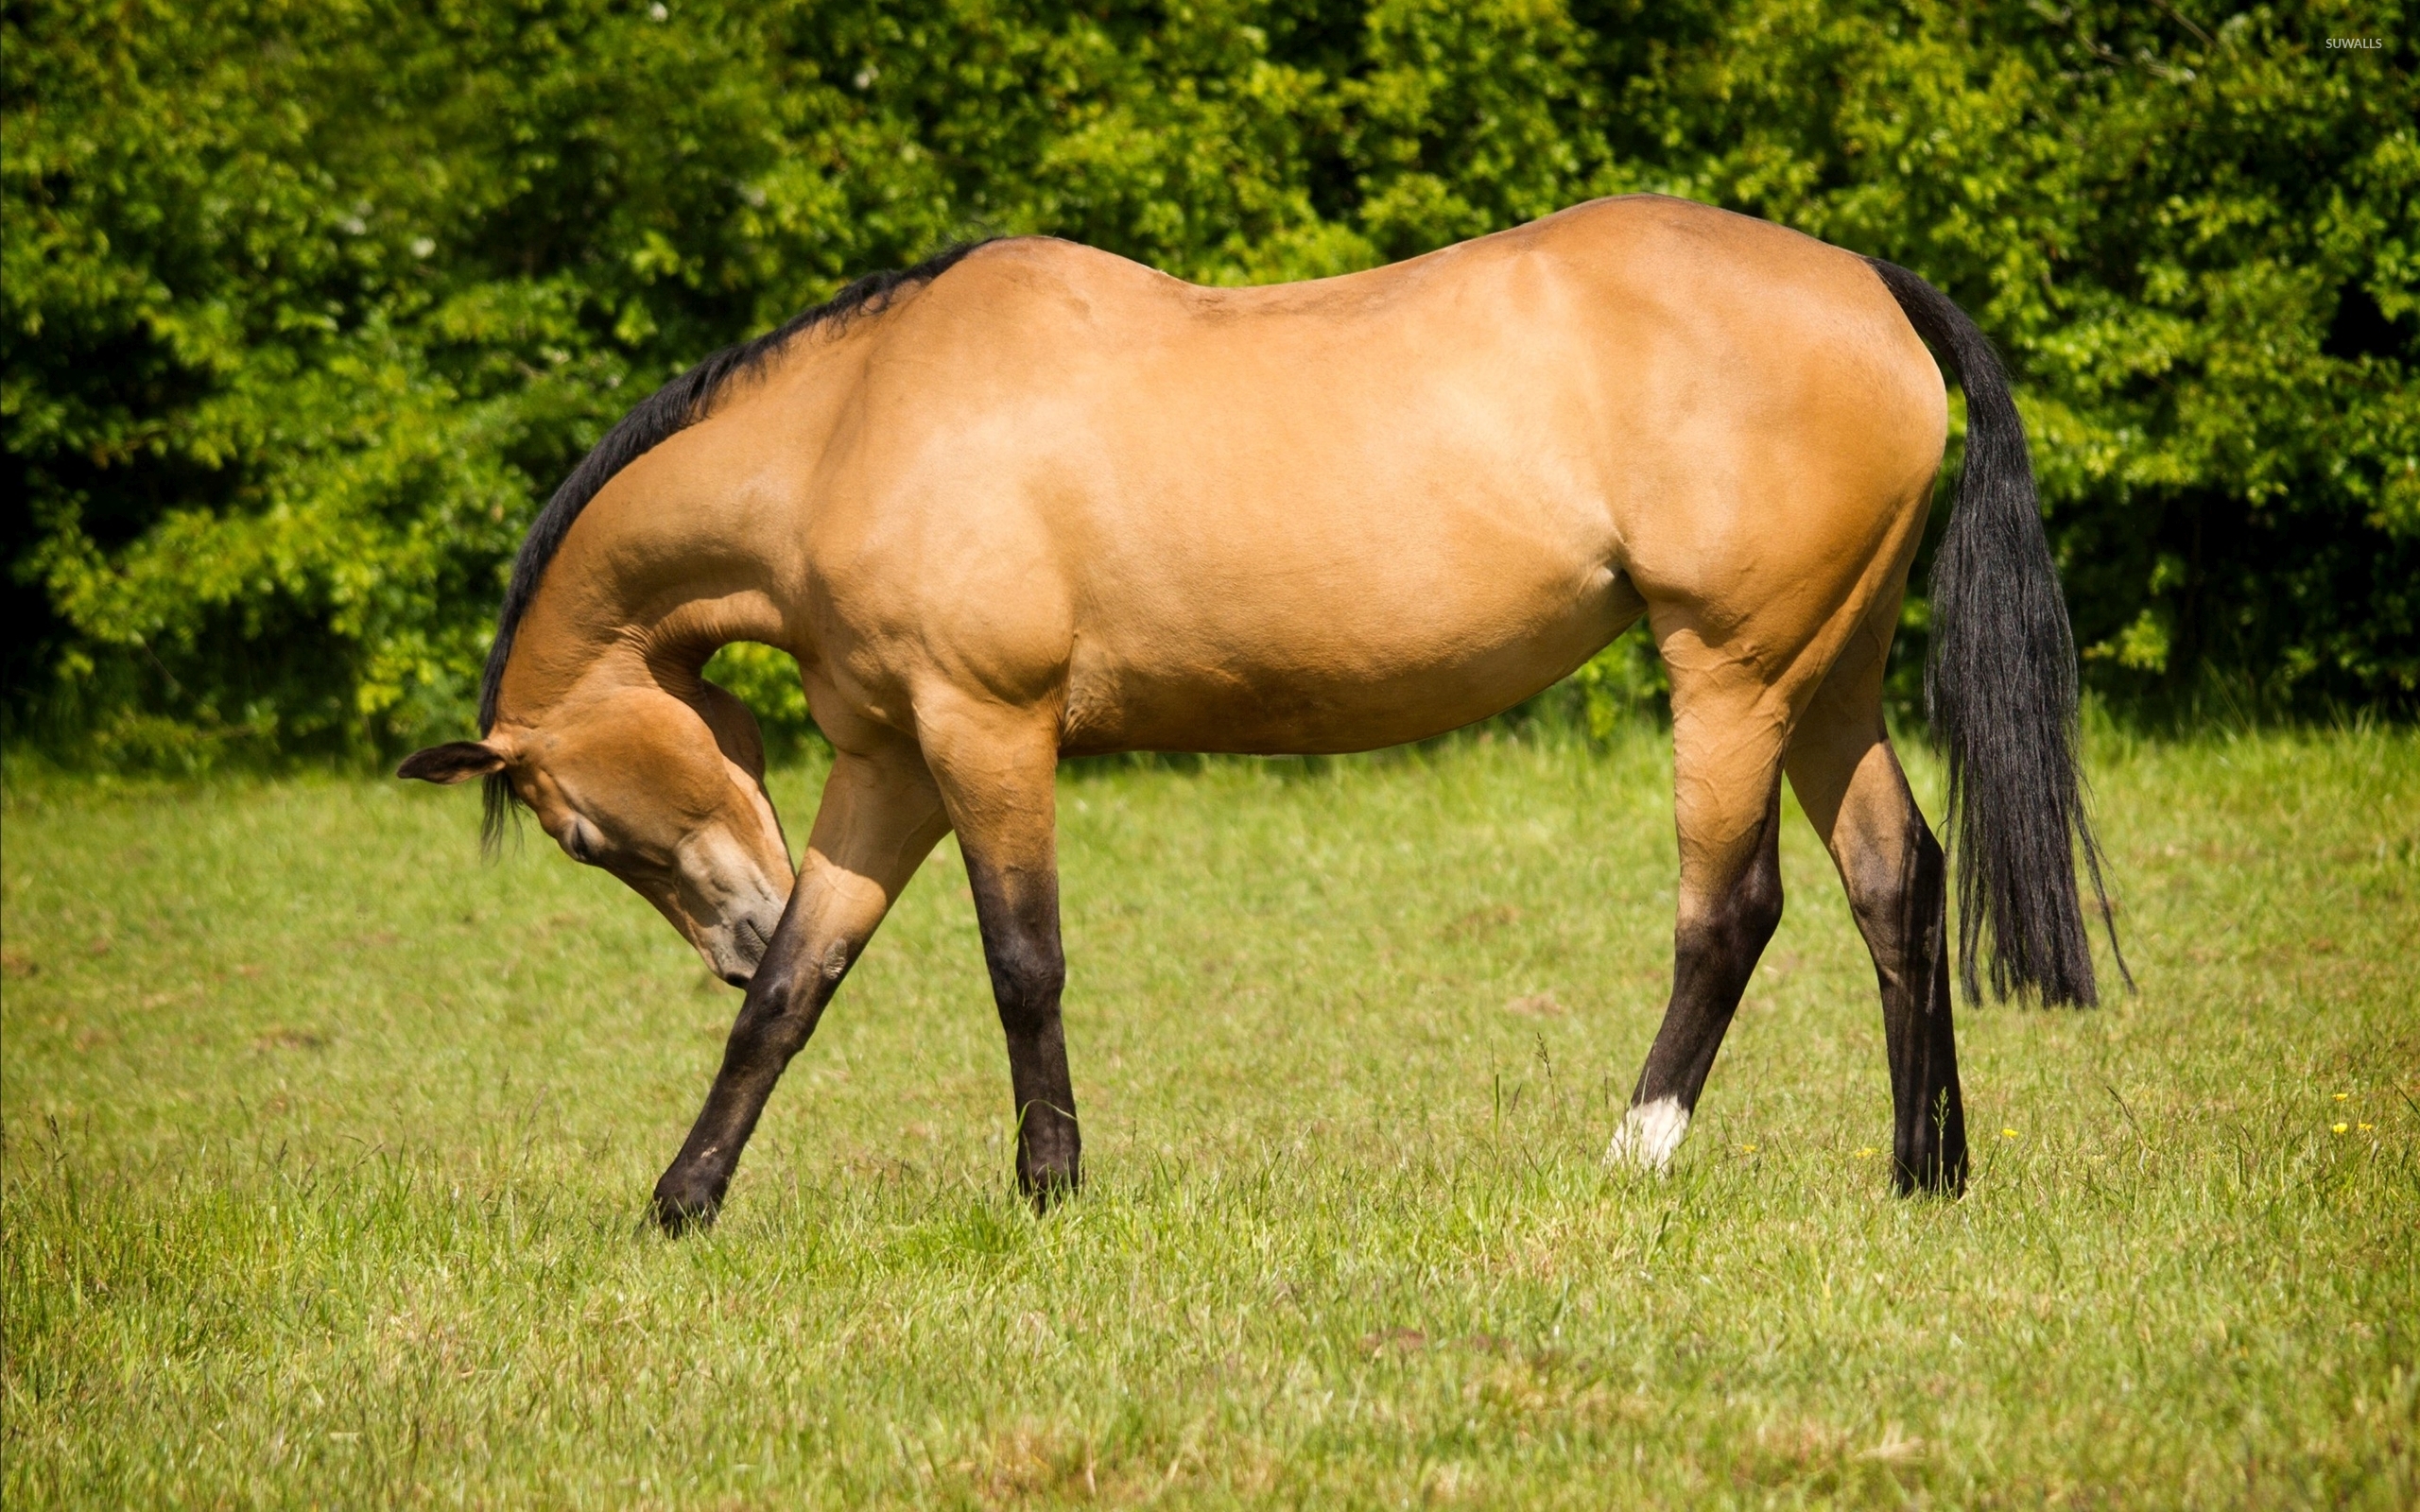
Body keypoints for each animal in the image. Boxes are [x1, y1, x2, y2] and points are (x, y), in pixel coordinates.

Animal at [396, 191, 2119, 1228]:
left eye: (578, 830)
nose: (725, 928)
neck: (859, 428)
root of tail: (1871, 287)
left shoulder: (985, 732)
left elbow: (1022, 964)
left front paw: (1050, 1188)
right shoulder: (888, 760)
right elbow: (798, 994)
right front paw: (681, 1202)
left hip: (1733, 678)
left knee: (1732, 911)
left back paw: (1636, 1150)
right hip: (1827, 675)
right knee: (1896, 885)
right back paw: (1925, 1173)